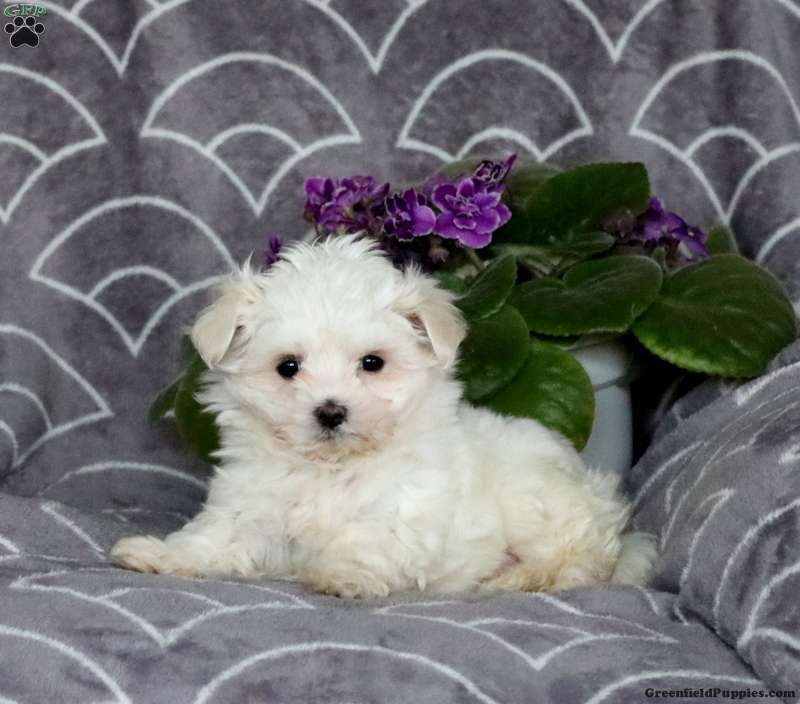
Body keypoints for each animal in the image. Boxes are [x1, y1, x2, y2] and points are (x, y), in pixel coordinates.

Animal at [110, 235, 656, 597]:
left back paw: (511, 578)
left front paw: (338, 575)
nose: (331, 411)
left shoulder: (406, 508)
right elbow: (212, 539)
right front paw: (160, 555)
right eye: (288, 367)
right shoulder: (251, 506)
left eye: (372, 363)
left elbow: (368, 538)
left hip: (537, 500)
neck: (332, 468)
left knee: (578, 561)